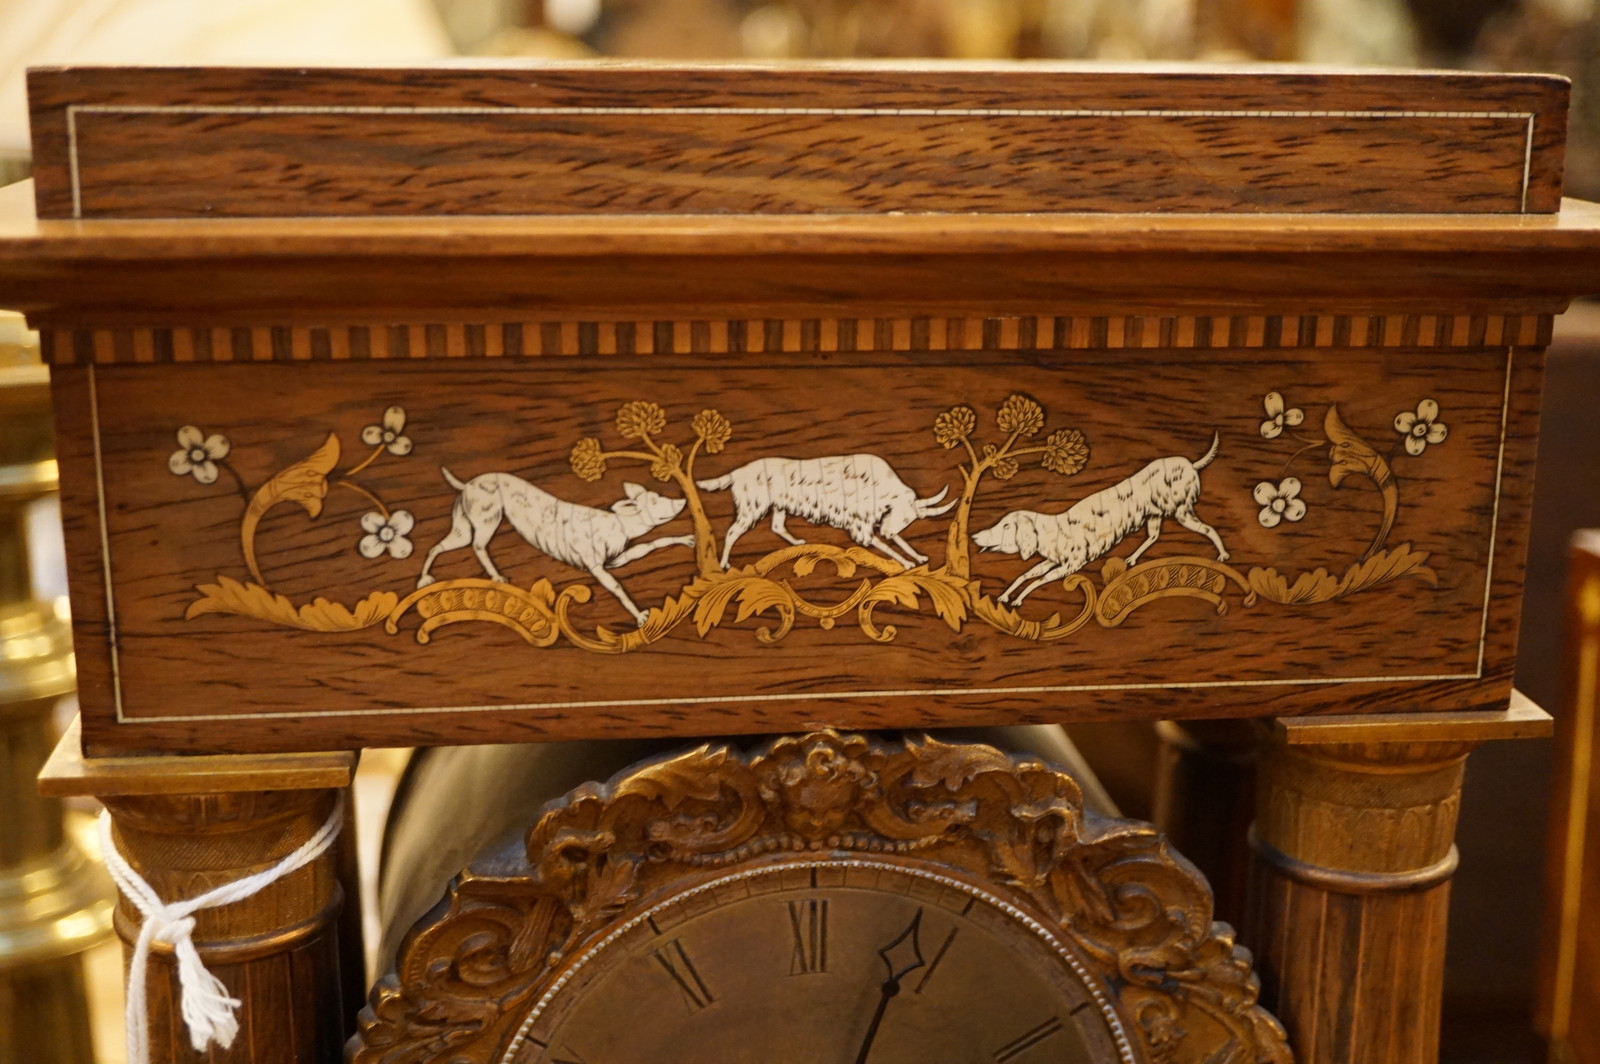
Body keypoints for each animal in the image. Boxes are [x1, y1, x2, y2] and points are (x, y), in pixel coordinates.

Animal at [966, 435, 1228, 604]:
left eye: (1005, 526)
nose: (974, 536)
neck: (1050, 530)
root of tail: (1191, 464)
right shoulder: (1050, 560)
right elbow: (1027, 574)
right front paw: (1005, 594)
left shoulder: (1071, 565)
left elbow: (1039, 579)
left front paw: (1019, 598)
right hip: (1155, 514)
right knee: (1153, 536)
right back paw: (1132, 558)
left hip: (1181, 511)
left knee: (1209, 529)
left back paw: (1223, 555)